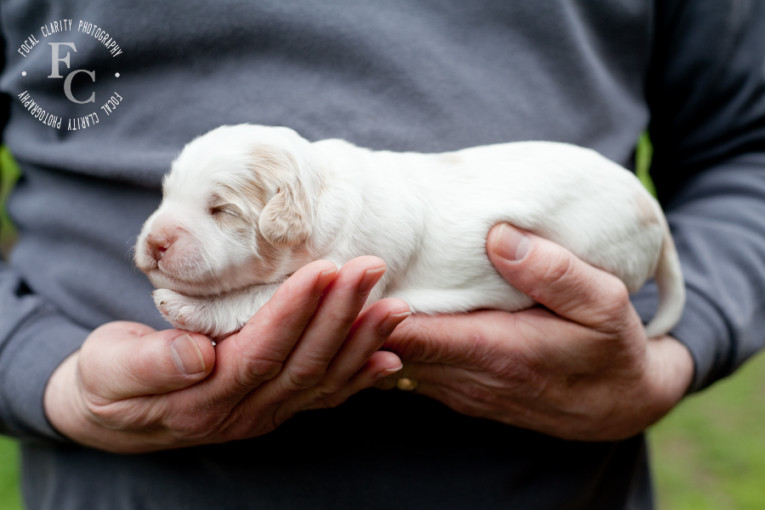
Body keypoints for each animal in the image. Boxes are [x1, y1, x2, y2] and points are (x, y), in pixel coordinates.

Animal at [134, 124, 684, 338]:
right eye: (166, 194)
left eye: (220, 210)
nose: (155, 243)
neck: (321, 188)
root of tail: (652, 209)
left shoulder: (345, 266)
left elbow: (253, 298)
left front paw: (182, 306)